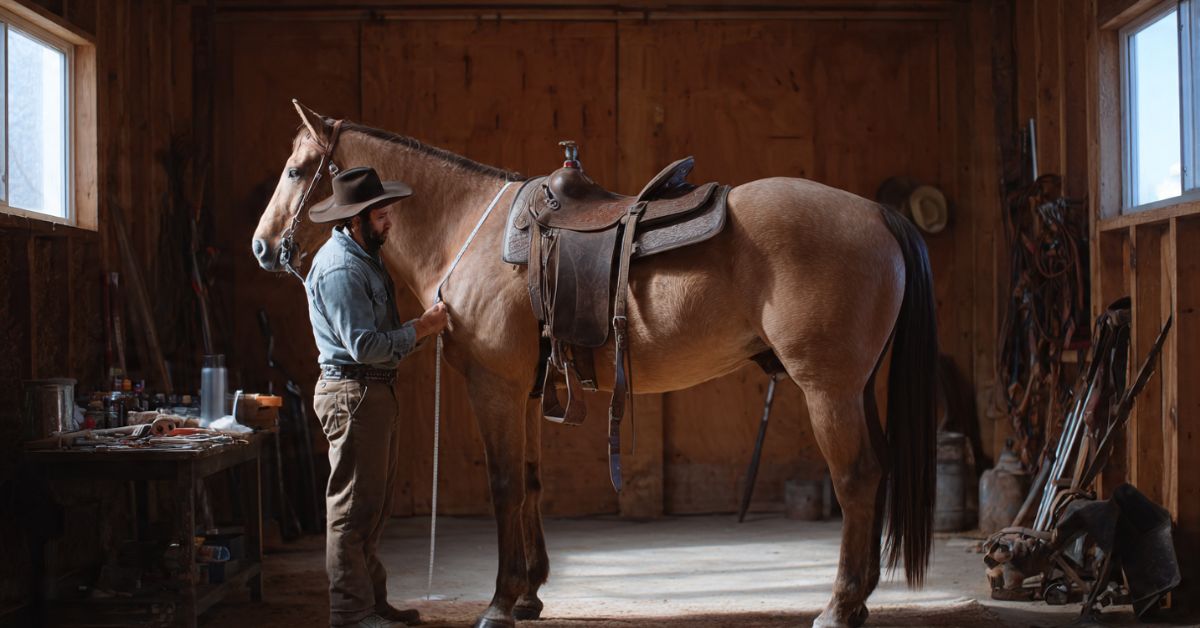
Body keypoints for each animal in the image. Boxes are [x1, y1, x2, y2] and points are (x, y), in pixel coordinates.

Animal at [251, 101, 937, 628]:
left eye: (295, 169)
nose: (261, 246)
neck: (469, 227)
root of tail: (876, 213)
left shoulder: (494, 388)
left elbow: (504, 486)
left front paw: (499, 602)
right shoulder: (527, 392)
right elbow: (530, 482)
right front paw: (529, 594)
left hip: (829, 390)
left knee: (855, 478)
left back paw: (839, 606)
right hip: (856, 389)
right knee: (876, 471)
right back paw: (861, 598)